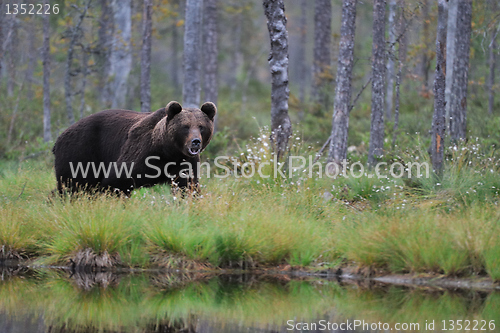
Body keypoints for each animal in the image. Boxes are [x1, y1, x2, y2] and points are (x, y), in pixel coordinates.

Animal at [52, 101, 217, 195]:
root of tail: (59, 137)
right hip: (80, 152)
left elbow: (187, 186)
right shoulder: (139, 153)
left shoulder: (184, 162)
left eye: (201, 127)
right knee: (72, 185)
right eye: (185, 127)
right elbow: (116, 180)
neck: (167, 151)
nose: (195, 142)